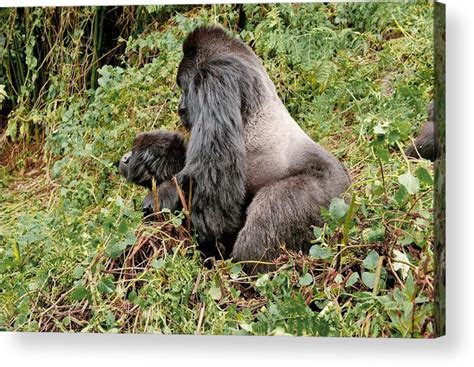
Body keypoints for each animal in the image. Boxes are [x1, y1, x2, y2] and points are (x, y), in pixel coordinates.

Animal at [118, 26, 350, 274]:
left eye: (183, 88)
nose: (180, 107)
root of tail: (348, 187)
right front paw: (147, 159)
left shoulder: (214, 78)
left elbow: (212, 173)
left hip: (327, 197)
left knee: (269, 214)